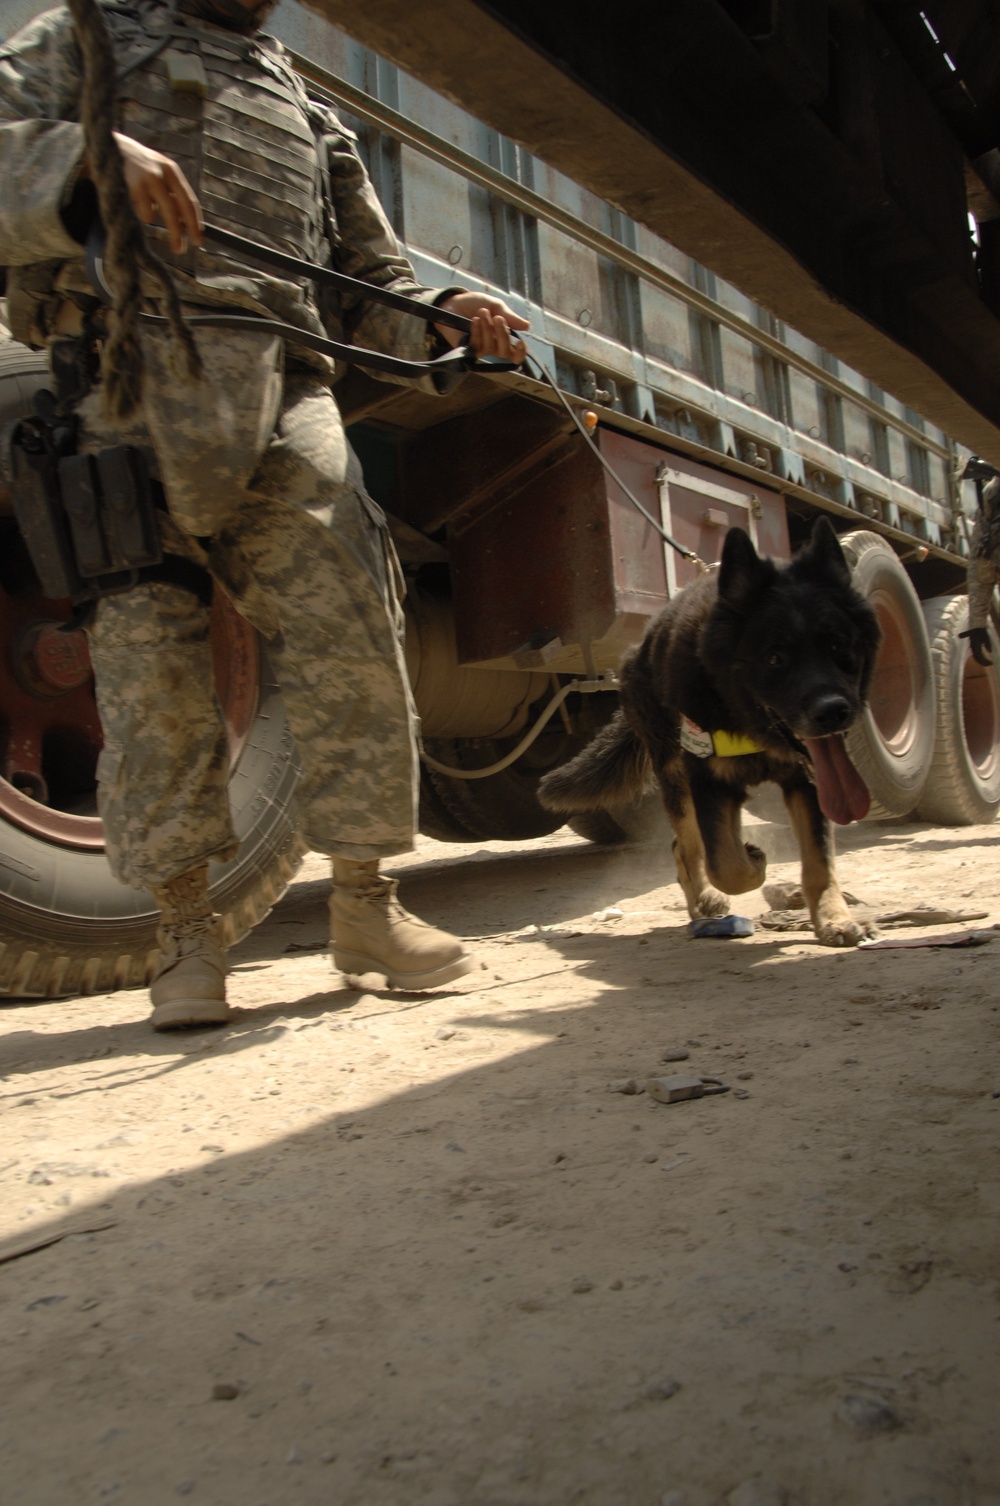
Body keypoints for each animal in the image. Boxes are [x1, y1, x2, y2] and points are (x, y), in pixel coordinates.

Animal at [542, 518, 879, 939]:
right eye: (775, 658)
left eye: (838, 646)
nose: (833, 712)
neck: (741, 715)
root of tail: (635, 655)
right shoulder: (707, 780)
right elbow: (726, 864)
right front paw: (752, 863)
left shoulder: (809, 783)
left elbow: (819, 861)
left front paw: (833, 917)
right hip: (674, 775)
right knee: (687, 846)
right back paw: (704, 899)